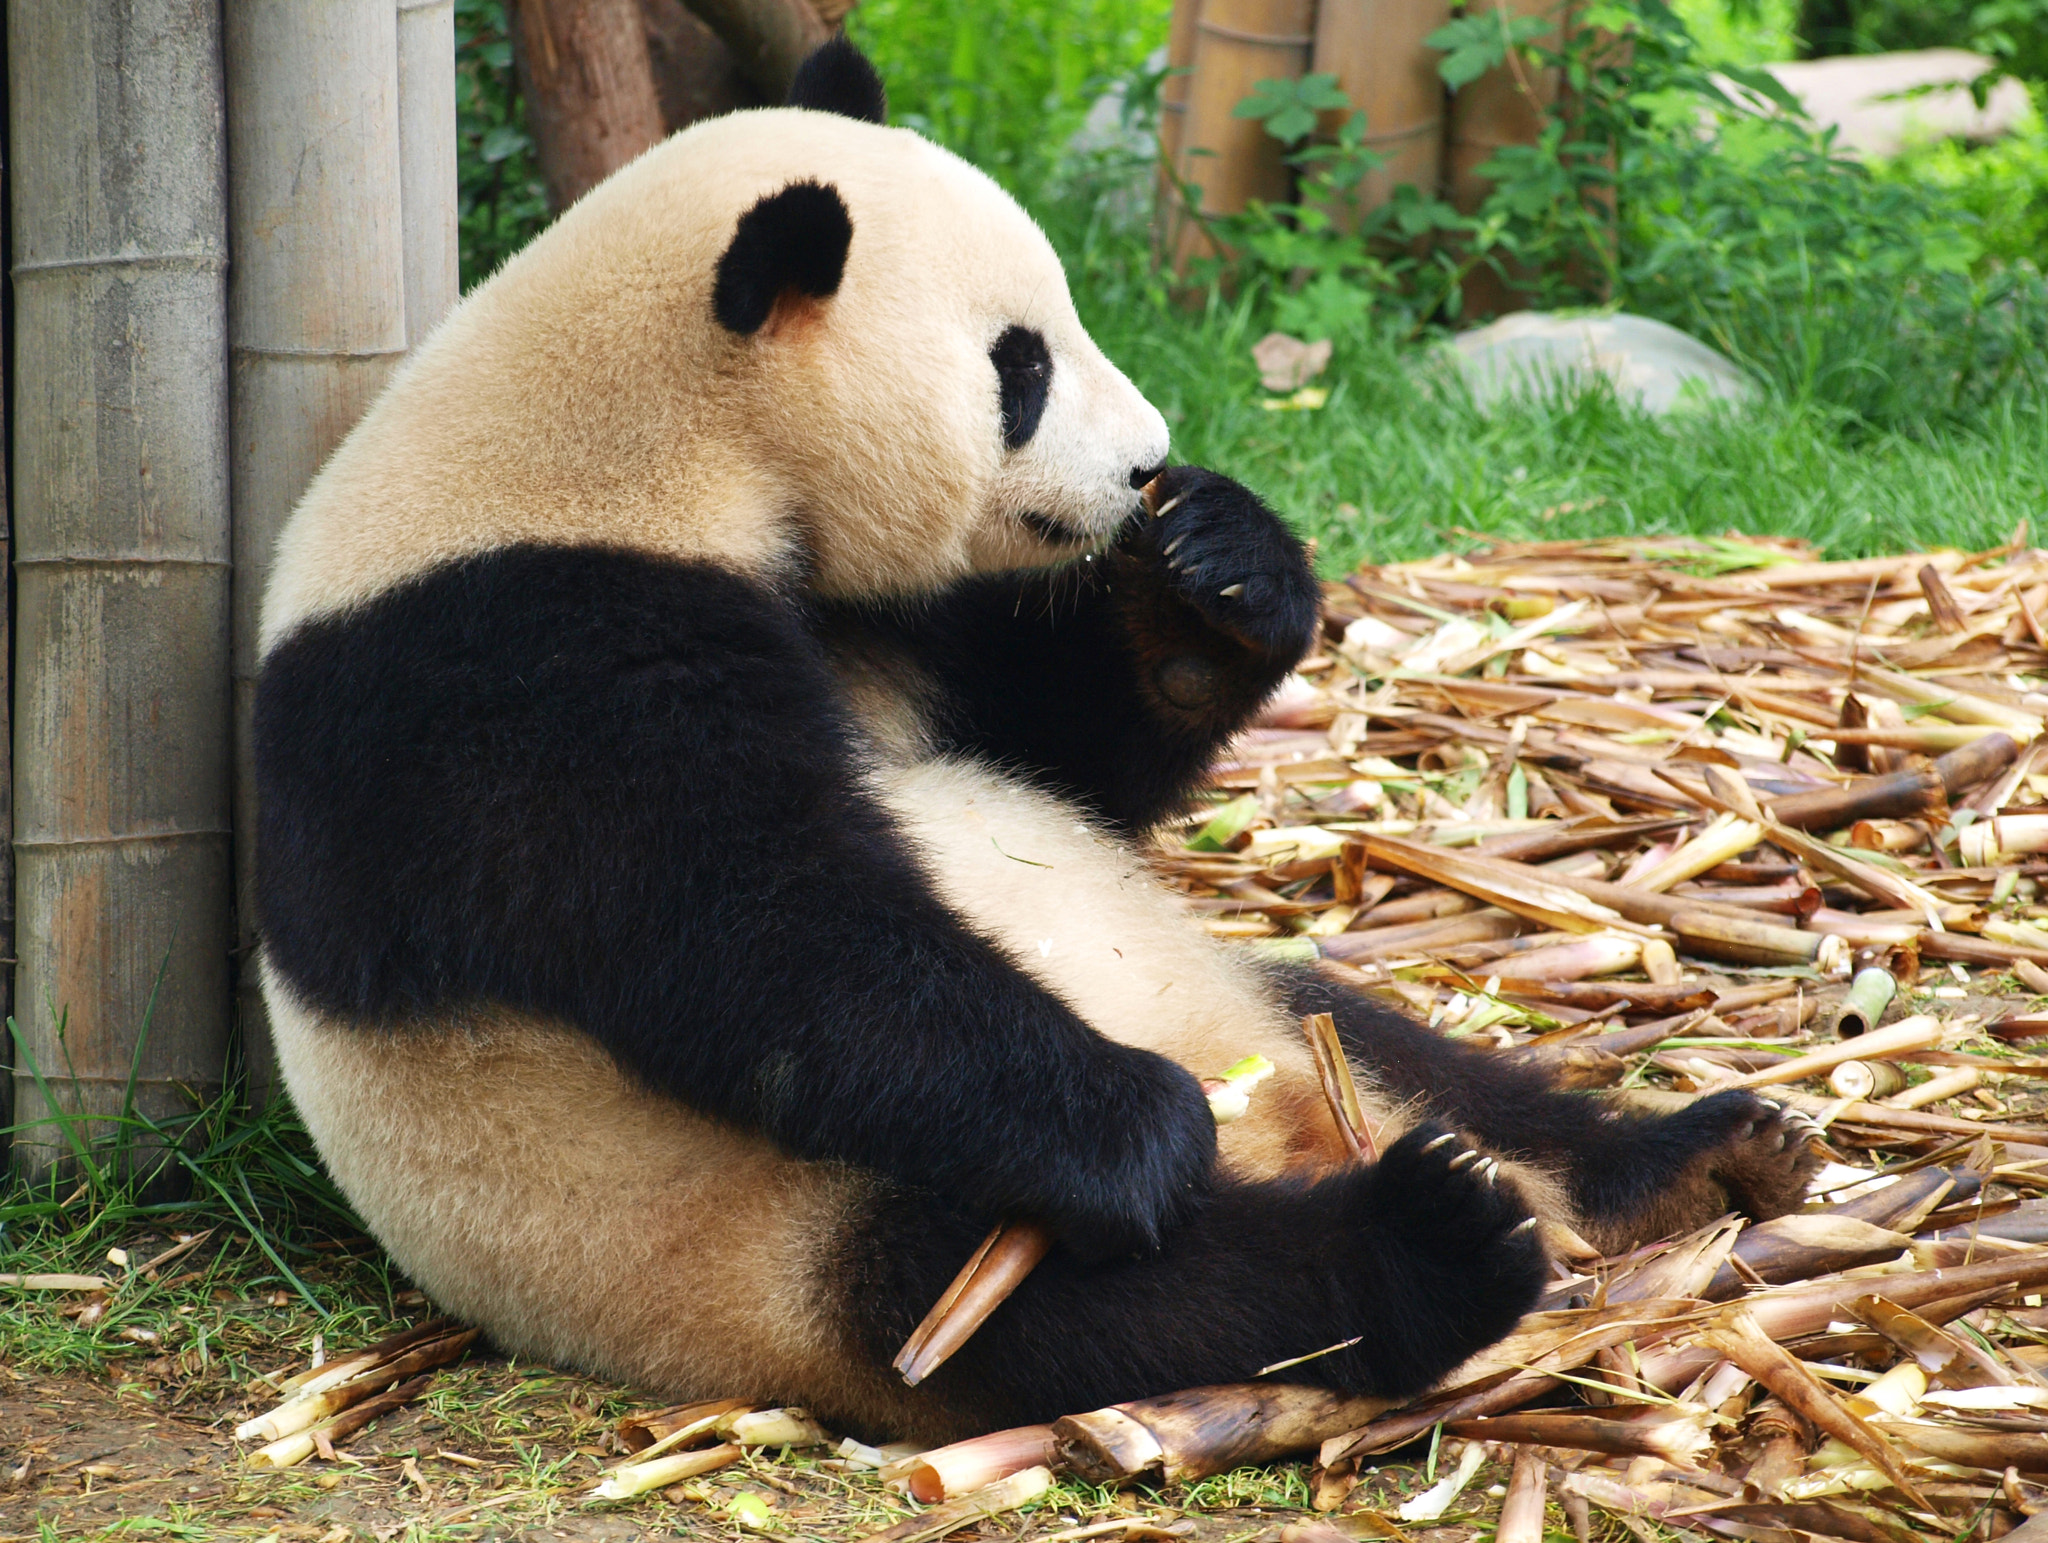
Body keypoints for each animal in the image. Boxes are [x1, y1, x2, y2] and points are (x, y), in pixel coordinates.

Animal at [253, 39, 1821, 1445]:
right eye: (1019, 366)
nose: (1145, 461)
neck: (627, 443)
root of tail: (1297, 1132)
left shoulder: (879, 621)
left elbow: (1065, 765)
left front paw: (1217, 572)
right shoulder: (514, 653)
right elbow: (753, 929)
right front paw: (1139, 1128)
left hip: (1249, 1004)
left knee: (1383, 1038)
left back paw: (1683, 1161)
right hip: (753, 1234)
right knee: (1087, 1299)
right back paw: (1420, 1241)